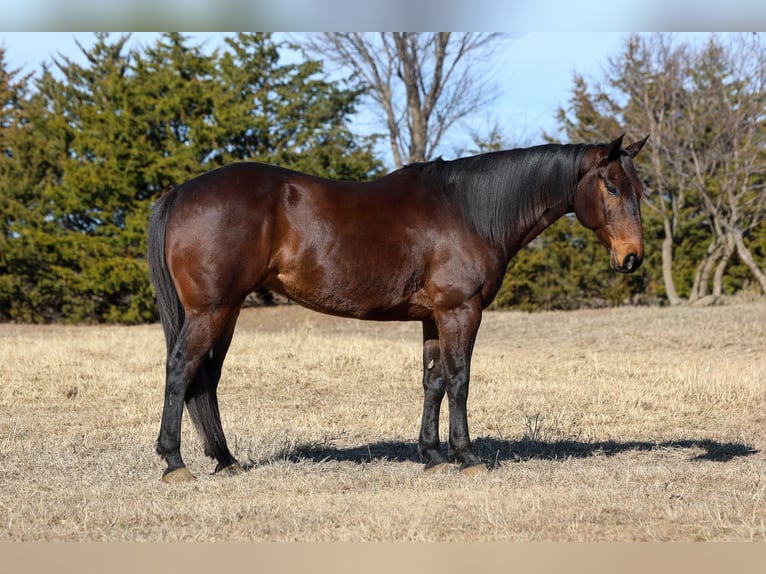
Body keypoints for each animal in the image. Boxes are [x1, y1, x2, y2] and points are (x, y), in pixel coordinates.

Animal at [147, 134, 649, 482]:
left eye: (639, 189)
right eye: (611, 187)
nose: (632, 257)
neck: (468, 210)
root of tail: (180, 192)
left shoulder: (433, 317)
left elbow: (433, 383)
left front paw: (432, 456)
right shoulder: (460, 311)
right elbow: (460, 381)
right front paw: (466, 457)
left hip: (226, 312)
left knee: (206, 379)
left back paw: (225, 459)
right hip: (211, 310)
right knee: (181, 368)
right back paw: (174, 462)